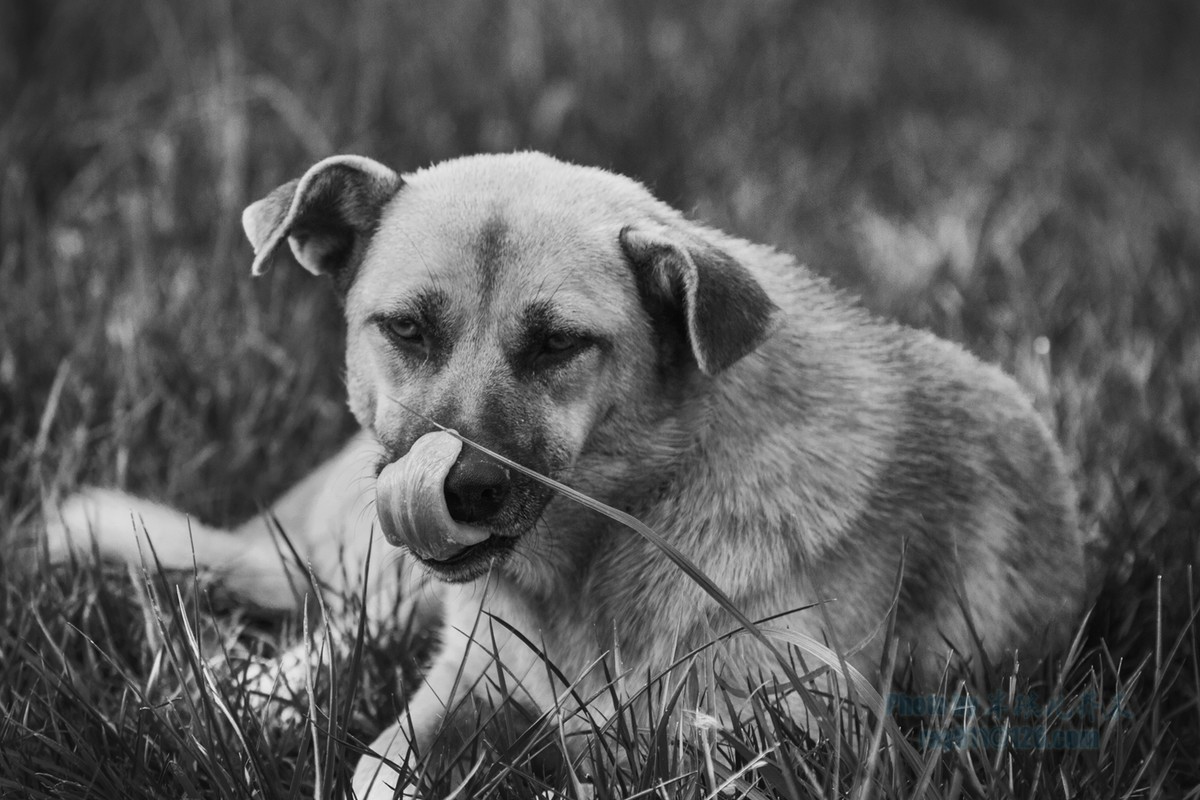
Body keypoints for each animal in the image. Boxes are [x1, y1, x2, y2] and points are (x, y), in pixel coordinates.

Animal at [44, 153, 1089, 796]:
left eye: (557, 344)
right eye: (407, 328)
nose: (457, 491)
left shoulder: (820, 729)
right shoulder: (456, 680)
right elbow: (376, 763)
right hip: (382, 583)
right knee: (331, 622)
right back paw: (243, 690)